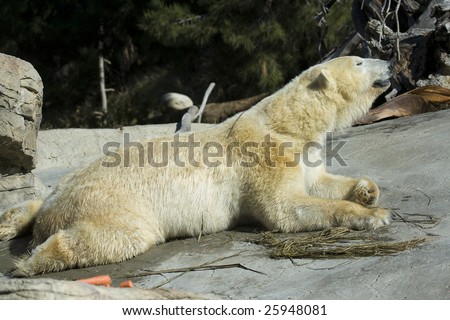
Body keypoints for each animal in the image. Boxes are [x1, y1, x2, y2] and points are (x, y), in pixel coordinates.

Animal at [0, 55, 392, 276]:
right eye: (359, 61)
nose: (389, 63)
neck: (287, 122)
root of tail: (56, 211)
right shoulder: (264, 155)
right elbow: (286, 209)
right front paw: (375, 215)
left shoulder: (303, 150)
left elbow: (317, 180)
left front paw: (367, 191)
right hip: (110, 203)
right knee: (120, 236)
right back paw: (29, 263)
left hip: (65, 187)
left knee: (41, 201)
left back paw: (12, 223)